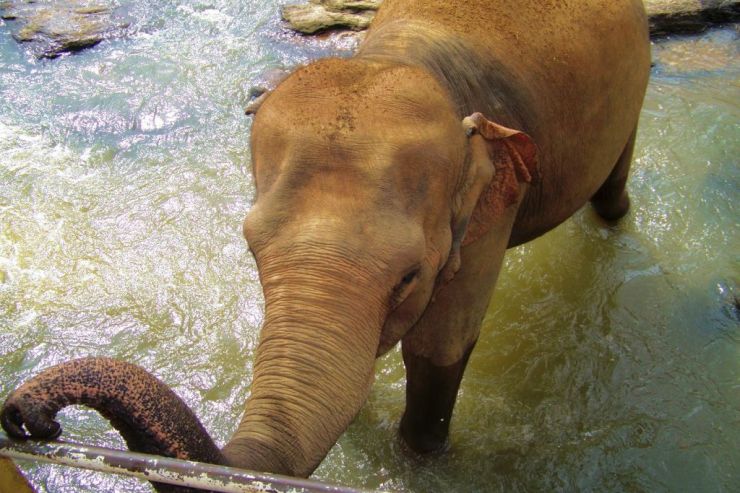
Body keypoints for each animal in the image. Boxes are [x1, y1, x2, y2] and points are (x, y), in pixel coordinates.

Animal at [1, 0, 651, 490]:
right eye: (252, 251)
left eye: (409, 277)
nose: (29, 419)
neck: (396, 55)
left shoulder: (491, 200)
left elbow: (440, 345)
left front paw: (419, 457)